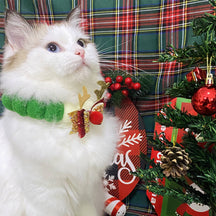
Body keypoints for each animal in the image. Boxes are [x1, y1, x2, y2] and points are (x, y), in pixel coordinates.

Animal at [0, 7, 118, 215]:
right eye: (52, 48)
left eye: (81, 43)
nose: (81, 52)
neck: (73, 117)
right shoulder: (47, 198)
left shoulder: (86, 196)